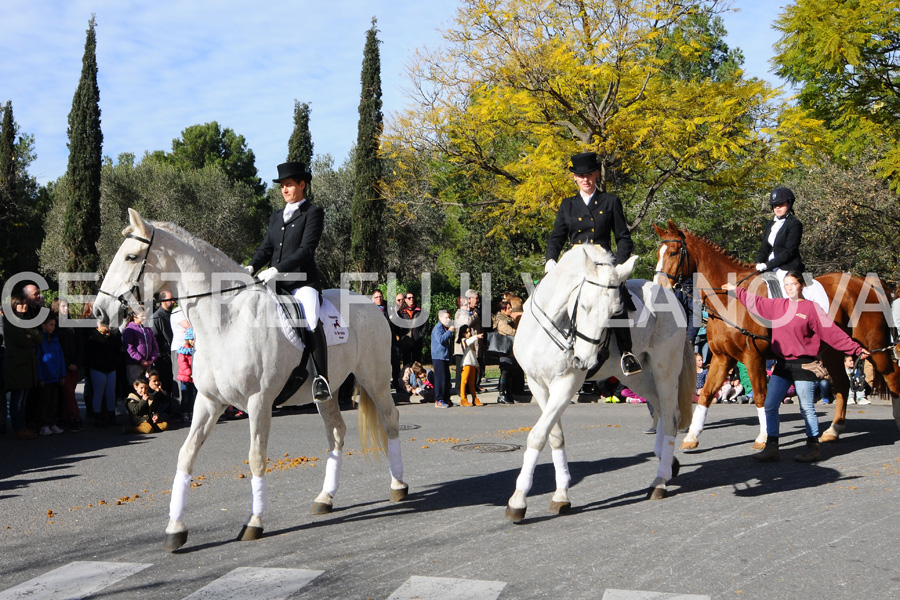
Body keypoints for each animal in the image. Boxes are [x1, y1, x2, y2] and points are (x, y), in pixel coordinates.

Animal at [92, 209, 408, 552]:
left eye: (131, 256)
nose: (99, 312)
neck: (226, 321)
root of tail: (372, 305)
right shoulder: (208, 402)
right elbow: (186, 455)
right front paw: (175, 528)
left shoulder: (259, 402)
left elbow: (256, 458)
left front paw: (254, 522)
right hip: (328, 391)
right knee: (336, 433)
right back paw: (325, 498)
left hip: (375, 379)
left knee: (390, 420)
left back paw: (398, 485)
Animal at [506, 244, 696, 520]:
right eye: (583, 306)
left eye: (616, 313)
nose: (583, 361)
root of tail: (670, 296)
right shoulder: (537, 385)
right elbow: (555, 436)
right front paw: (561, 495)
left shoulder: (566, 385)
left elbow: (538, 435)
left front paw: (518, 500)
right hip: (638, 377)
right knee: (660, 408)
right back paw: (667, 462)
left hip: (665, 371)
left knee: (671, 416)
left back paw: (659, 481)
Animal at [652, 220, 900, 450]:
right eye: (658, 253)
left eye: (673, 252)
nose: (658, 290)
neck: (729, 300)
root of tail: (866, 282)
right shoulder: (723, 358)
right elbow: (706, 393)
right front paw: (691, 437)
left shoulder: (753, 357)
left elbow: (761, 395)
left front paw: (763, 437)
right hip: (834, 351)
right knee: (843, 383)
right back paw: (833, 430)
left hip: (874, 348)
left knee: (892, 376)